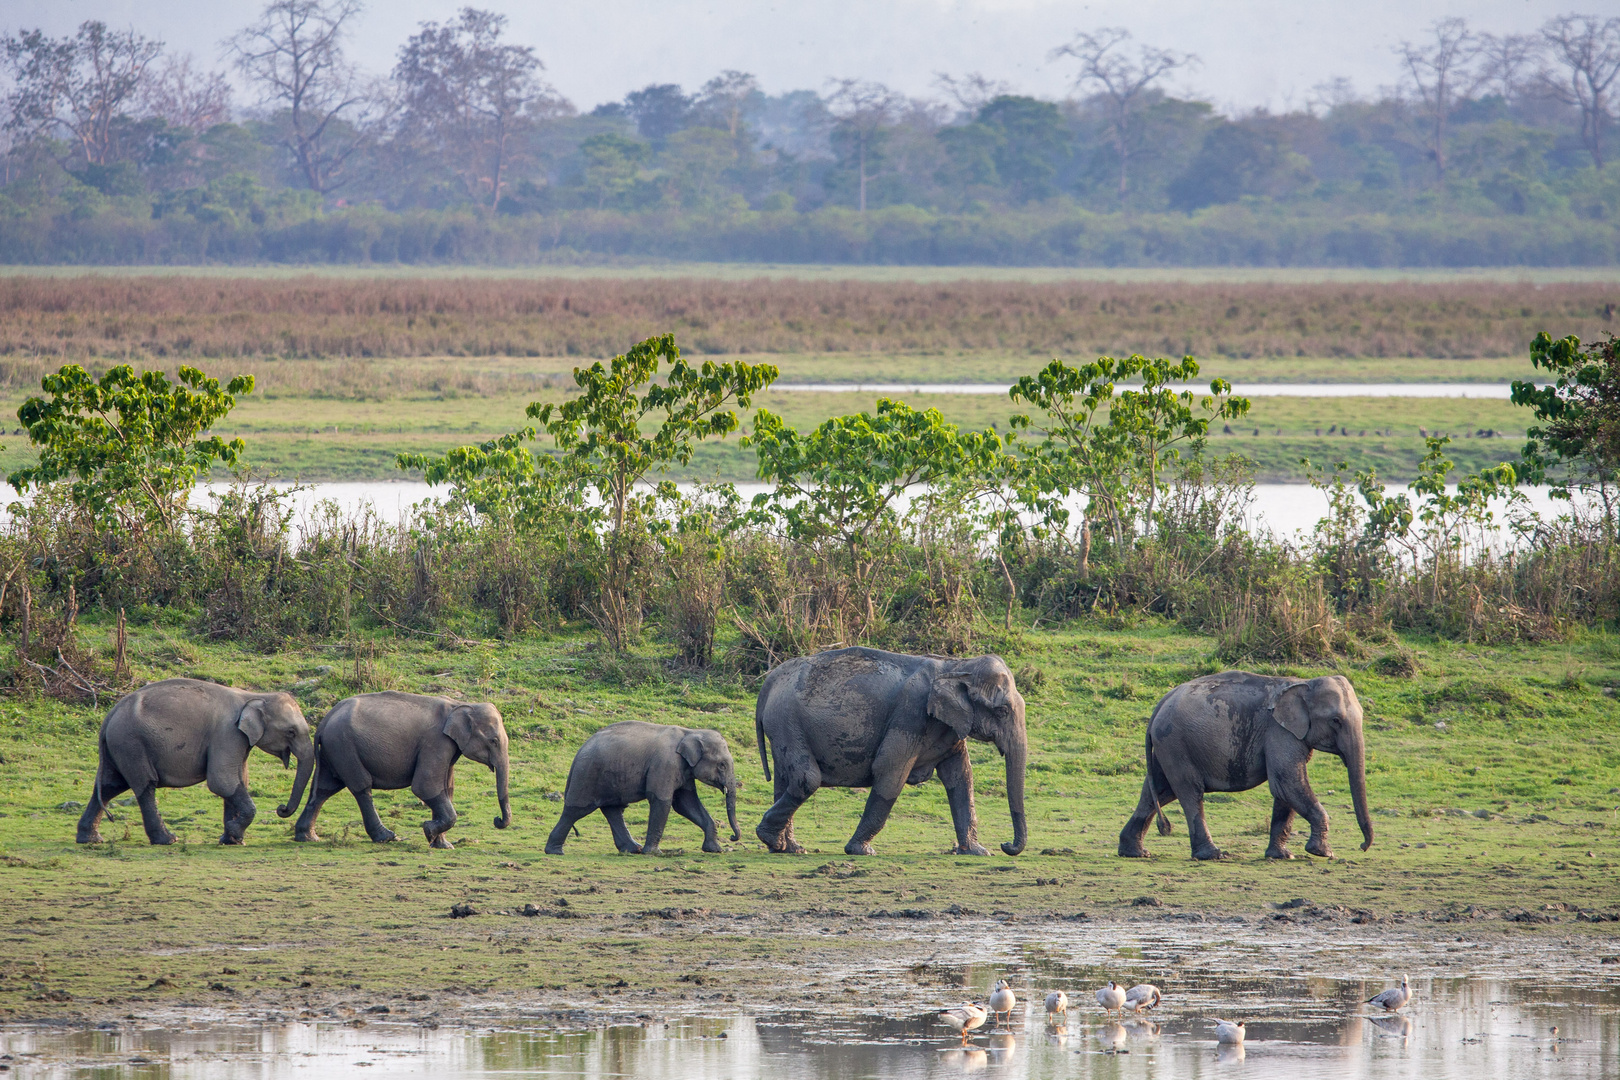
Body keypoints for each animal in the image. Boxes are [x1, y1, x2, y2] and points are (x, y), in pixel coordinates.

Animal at [75, 680, 312, 848]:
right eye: (291, 732)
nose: (281, 808)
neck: (254, 696)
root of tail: (109, 716)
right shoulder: (227, 734)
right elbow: (222, 782)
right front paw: (234, 833)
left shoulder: (239, 739)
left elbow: (238, 781)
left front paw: (232, 840)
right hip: (131, 744)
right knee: (144, 785)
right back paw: (168, 840)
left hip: (120, 746)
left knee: (110, 785)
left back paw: (90, 839)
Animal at [294, 693, 508, 854]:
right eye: (494, 741)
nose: (497, 820)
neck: (460, 705)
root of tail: (323, 723)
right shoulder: (436, 742)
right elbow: (426, 787)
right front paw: (428, 831)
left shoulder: (448, 747)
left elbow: (446, 789)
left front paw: (443, 845)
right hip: (343, 746)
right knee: (361, 786)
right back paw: (387, 837)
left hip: (333, 750)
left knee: (325, 788)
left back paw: (307, 837)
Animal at [547, 722, 741, 854]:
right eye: (722, 765)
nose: (733, 838)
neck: (690, 732)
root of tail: (579, 751)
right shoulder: (665, 764)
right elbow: (662, 801)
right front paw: (654, 853)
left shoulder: (683, 770)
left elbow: (686, 804)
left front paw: (715, 849)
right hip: (587, 776)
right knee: (576, 810)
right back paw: (555, 851)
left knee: (613, 810)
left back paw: (633, 849)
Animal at [748, 647, 1023, 854]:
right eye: (1002, 711)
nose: (1005, 844)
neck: (955, 665)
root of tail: (770, 680)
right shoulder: (910, 716)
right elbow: (890, 772)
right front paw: (861, 851)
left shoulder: (950, 728)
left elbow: (961, 778)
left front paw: (978, 852)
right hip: (786, 721)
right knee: (807, 778)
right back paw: (774, 841)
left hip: (784, 726)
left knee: (785, 779)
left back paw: (787, 847)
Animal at [1121, 670, 1373, 867]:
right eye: (1335, 721)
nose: (1362, 846)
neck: (1304, 683)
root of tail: (1161, 703)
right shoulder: (1279, 731)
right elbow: (1287, 781)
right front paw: (1323, 852)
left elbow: (1284, 789)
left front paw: (1282, 856)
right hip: (1176, 743)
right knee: (1189, 792)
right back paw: (1213, 855)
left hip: (1168, 745)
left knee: (1158, 790)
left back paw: (1135, 852)